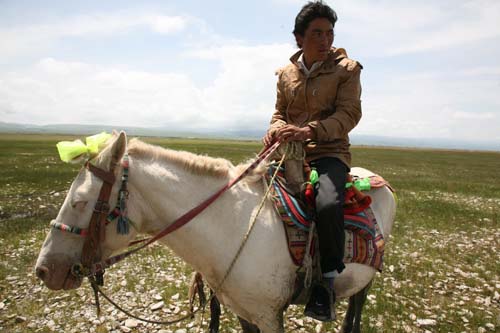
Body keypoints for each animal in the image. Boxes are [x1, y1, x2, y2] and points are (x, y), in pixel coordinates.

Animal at [34, 132, 394, 332]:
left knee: (356, 308)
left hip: (366, 278)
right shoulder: (243, 312)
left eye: (80, 201)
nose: (44, 270)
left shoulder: (270, 316)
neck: (231, 228)